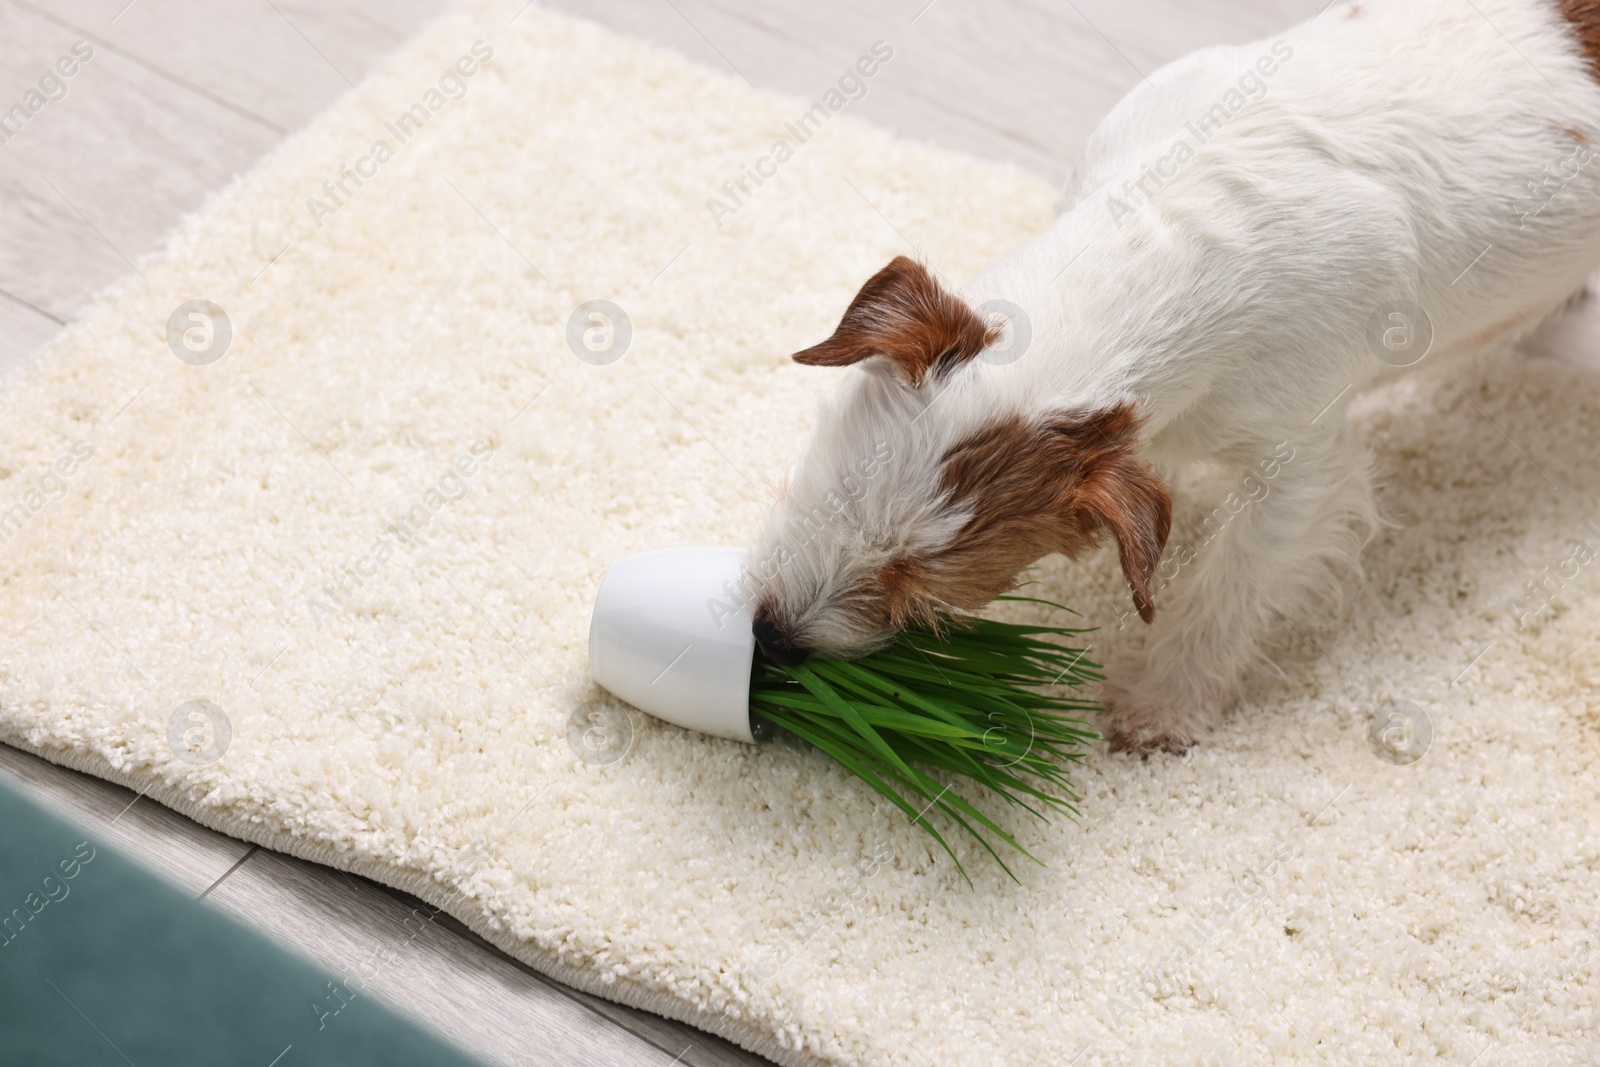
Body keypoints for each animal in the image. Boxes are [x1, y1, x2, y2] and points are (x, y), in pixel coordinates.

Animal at [742, 0, 1600, 751]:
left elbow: (1230, 584)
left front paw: (1163, 702)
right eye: (832, 491)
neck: (1181, 232)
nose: (772, 640)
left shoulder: (1303, 469)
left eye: (922, 590)